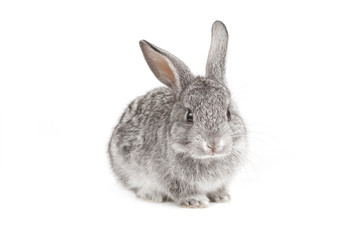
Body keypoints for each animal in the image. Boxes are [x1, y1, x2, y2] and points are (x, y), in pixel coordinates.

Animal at [108, 21, 246, 208]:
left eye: (228, 113)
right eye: (189, 116)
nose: (214, 144)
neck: (207, 158)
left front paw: (221, 196)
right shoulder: (167, 176)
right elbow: (179, 190)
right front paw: (196, 201)